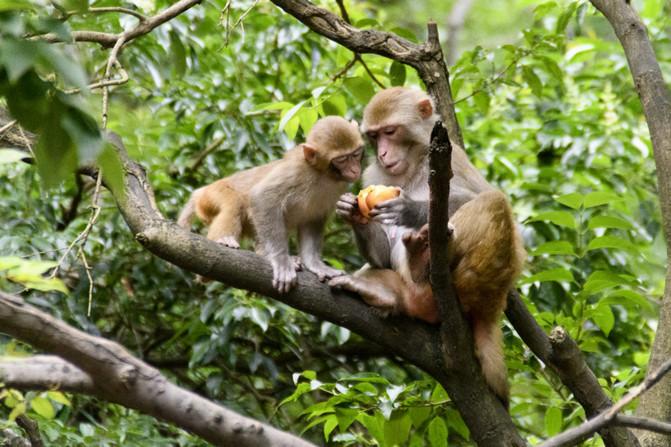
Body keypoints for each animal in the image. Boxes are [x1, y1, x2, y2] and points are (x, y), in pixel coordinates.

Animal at [178, 116, 364, 294]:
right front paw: (280, 260)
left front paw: (315, 264)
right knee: (234, 203)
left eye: (356, 154)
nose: (355, 170)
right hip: (211, 196)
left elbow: (313, 219)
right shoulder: (296, 171)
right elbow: (262, 197)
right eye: (341, 159)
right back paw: (225, 243)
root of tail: (201, 191)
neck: (323, 174)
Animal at [330, 87, 524, 406]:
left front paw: (411, 209)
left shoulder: (452, 159)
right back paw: (387, 294)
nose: (382, 154)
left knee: (493, 202)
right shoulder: (375, 176)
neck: (414, 163)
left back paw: (424, 264)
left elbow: (476, 197)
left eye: (390, 132)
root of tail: (492, 305)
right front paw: (352, 212)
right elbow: (383, 257)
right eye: (374, 136)